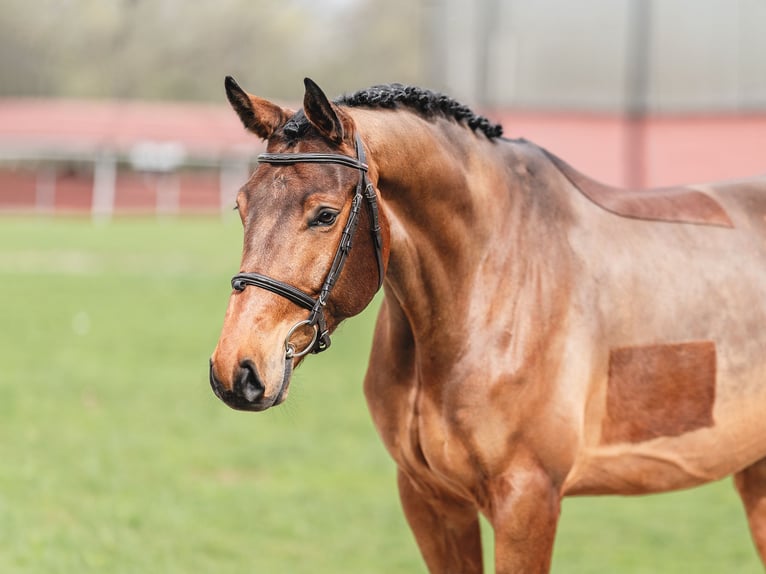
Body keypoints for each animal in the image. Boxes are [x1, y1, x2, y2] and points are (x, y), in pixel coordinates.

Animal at [207, 77, 766, 574]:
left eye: (324, 215)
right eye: (241, 206)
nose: (237, 369)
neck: (489, 283)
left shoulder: (527, 500)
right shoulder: (430, 498)